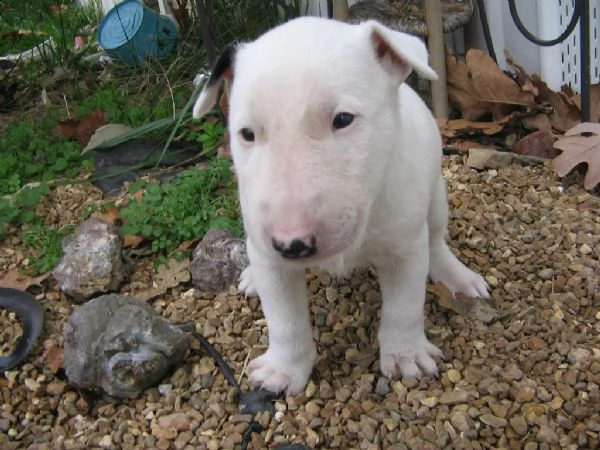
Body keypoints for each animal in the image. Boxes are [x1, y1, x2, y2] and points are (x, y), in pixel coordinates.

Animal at [192, 15, 488, 396]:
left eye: (343, 119)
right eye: (246, 134)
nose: (292, 244)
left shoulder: (405, 247)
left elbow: (405, 305)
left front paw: (406, 355)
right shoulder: (268, 255)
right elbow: (284, 320)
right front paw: (282, 370)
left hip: (435, 197)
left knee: (436, 241)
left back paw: (458, 277)